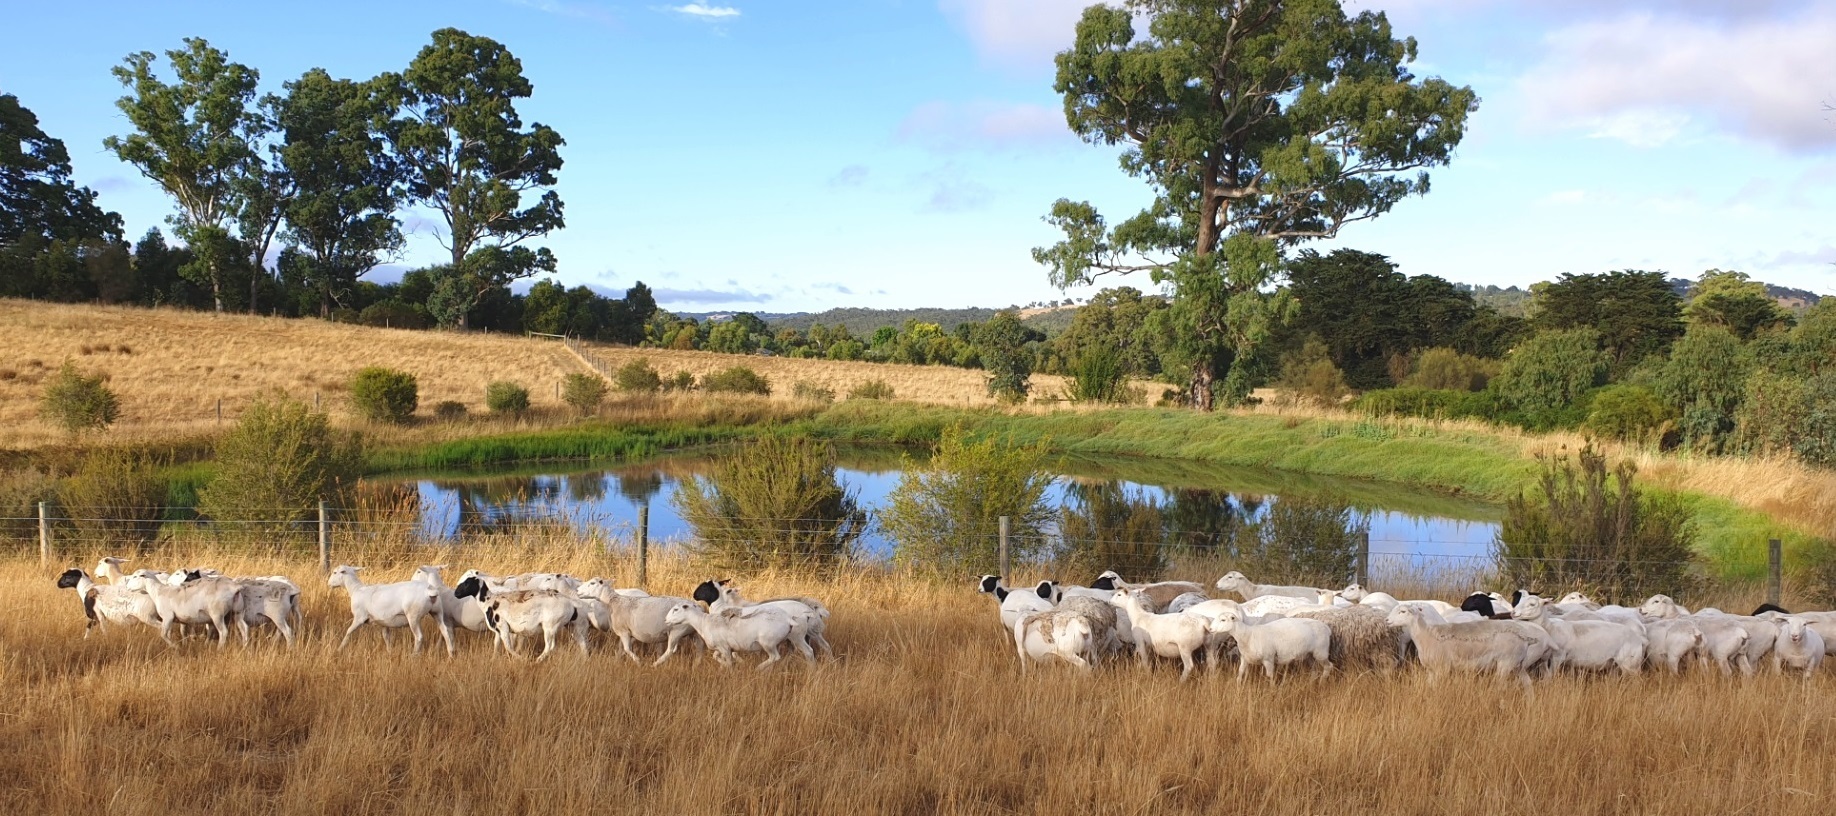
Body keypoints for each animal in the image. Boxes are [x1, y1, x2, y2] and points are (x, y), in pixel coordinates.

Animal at [664, 601, 810, 669]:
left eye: (676, 609)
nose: (665, 620)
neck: (702, 622)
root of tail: (788, 618)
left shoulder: (724, 648)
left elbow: (728, 661)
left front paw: (730, 667)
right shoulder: (723, 647)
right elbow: (716, 656)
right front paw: (725, 665)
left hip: (769, 642)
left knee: (775, 657)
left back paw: (759, 669)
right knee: (807, 651)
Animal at [1385, 602, 1553, 685]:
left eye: (1403, 612)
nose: (1386, 620)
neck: (1426, 634)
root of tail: (1523, 637)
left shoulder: (1442, 669)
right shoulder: (1431, 671)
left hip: (1506, 663)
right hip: (1518, 665)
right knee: (1528, 684)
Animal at [1511, 594, 1645, 674]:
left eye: (1532, 604)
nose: (1513, 613)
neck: (1550, 629)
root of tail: (1638, 638)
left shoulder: (1558, 657)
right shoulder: (1544, 660)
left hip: (1630, 664)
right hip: (1614, 664)